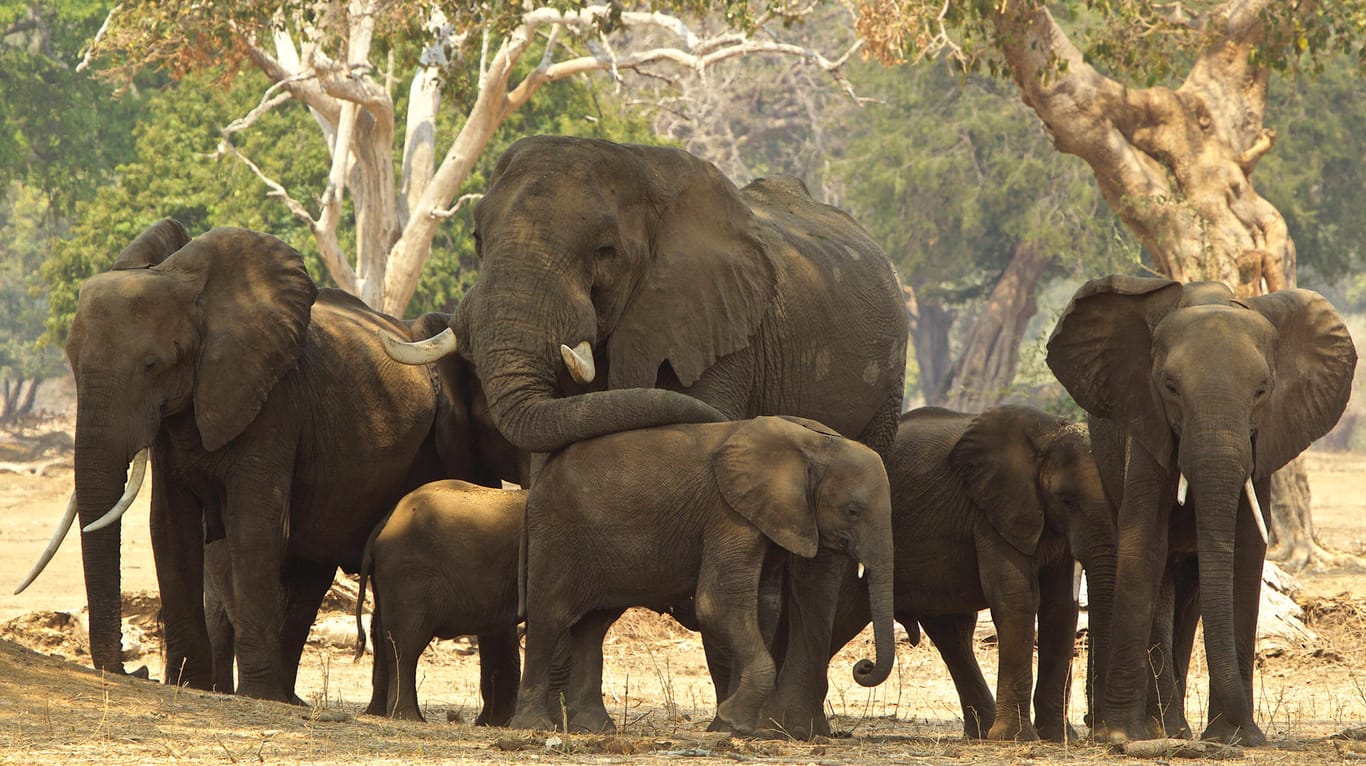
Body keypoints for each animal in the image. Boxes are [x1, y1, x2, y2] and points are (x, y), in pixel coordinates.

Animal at [355, 480, 524, 720]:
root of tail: (384, 523)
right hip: (410, 573)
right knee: (407, 641)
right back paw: (409, 717)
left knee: (381, 633)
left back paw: (379, 713)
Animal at [508, 415, 901, 737]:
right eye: (853, 511)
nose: (863, 667)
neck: (811, 446)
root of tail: (536, 483)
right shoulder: (729, 514)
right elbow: (720, 604)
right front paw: (735, 723)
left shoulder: (773, 518)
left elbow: (763, 607)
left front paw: (733, 726)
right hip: (557, 533)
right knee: (550, 617)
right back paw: (534, 726)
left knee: (594, 625)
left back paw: (595, 729)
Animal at [1043, 275, 1355, 748]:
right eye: (1171, 388)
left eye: (1262, 391)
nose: (1242, 728)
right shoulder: (1145, 423)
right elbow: (1144, 545)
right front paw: (1123, 735)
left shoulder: (1263, 445)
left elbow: (1246, 553)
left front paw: (1238, 737)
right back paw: (1163, 728)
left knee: (1188, 595)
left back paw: (1177, 728)